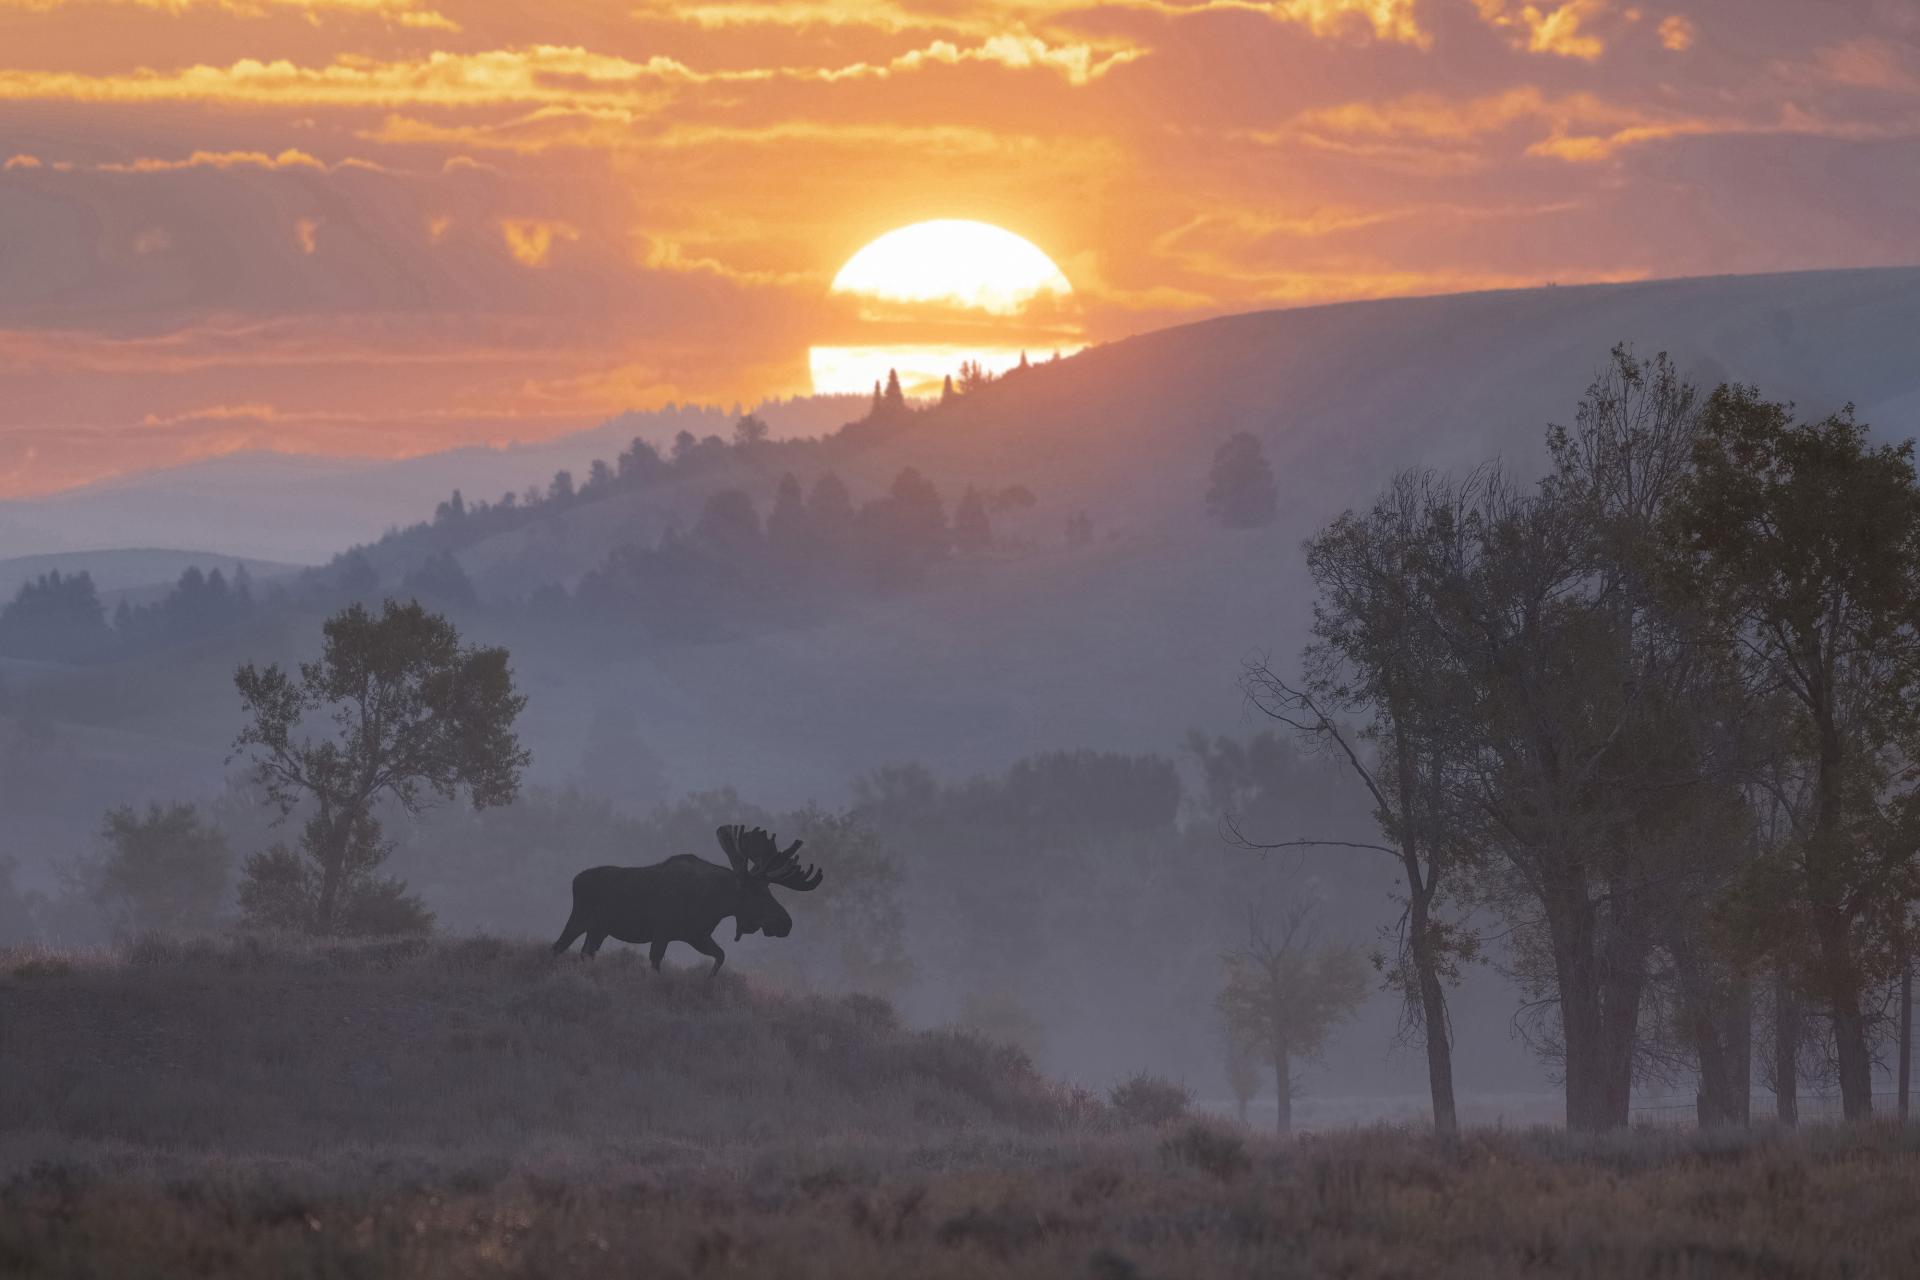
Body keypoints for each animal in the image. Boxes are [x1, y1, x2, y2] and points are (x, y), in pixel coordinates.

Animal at [556, 825, 825, 974]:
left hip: (599, 930)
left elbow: (720, 957)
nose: (786, 923)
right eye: (759, 892)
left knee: (586, 952)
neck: (715, 902)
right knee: (558, 946)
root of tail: (574, 880)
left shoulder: (698, 936)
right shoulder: (662, 933)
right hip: (579, 919)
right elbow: (656, 965)